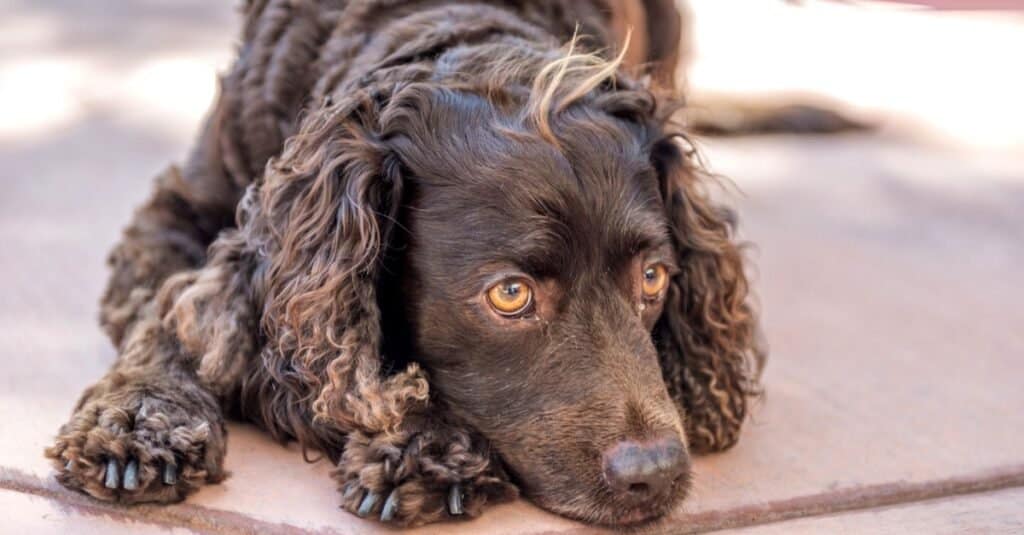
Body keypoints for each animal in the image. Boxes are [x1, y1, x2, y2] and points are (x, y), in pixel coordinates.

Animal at [44, 0, 761, 524]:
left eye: (653, 277)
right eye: (510, 294)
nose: (657, 474)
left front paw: (425, 442)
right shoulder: (174, 214)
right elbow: (167, 315)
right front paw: (140, 419)